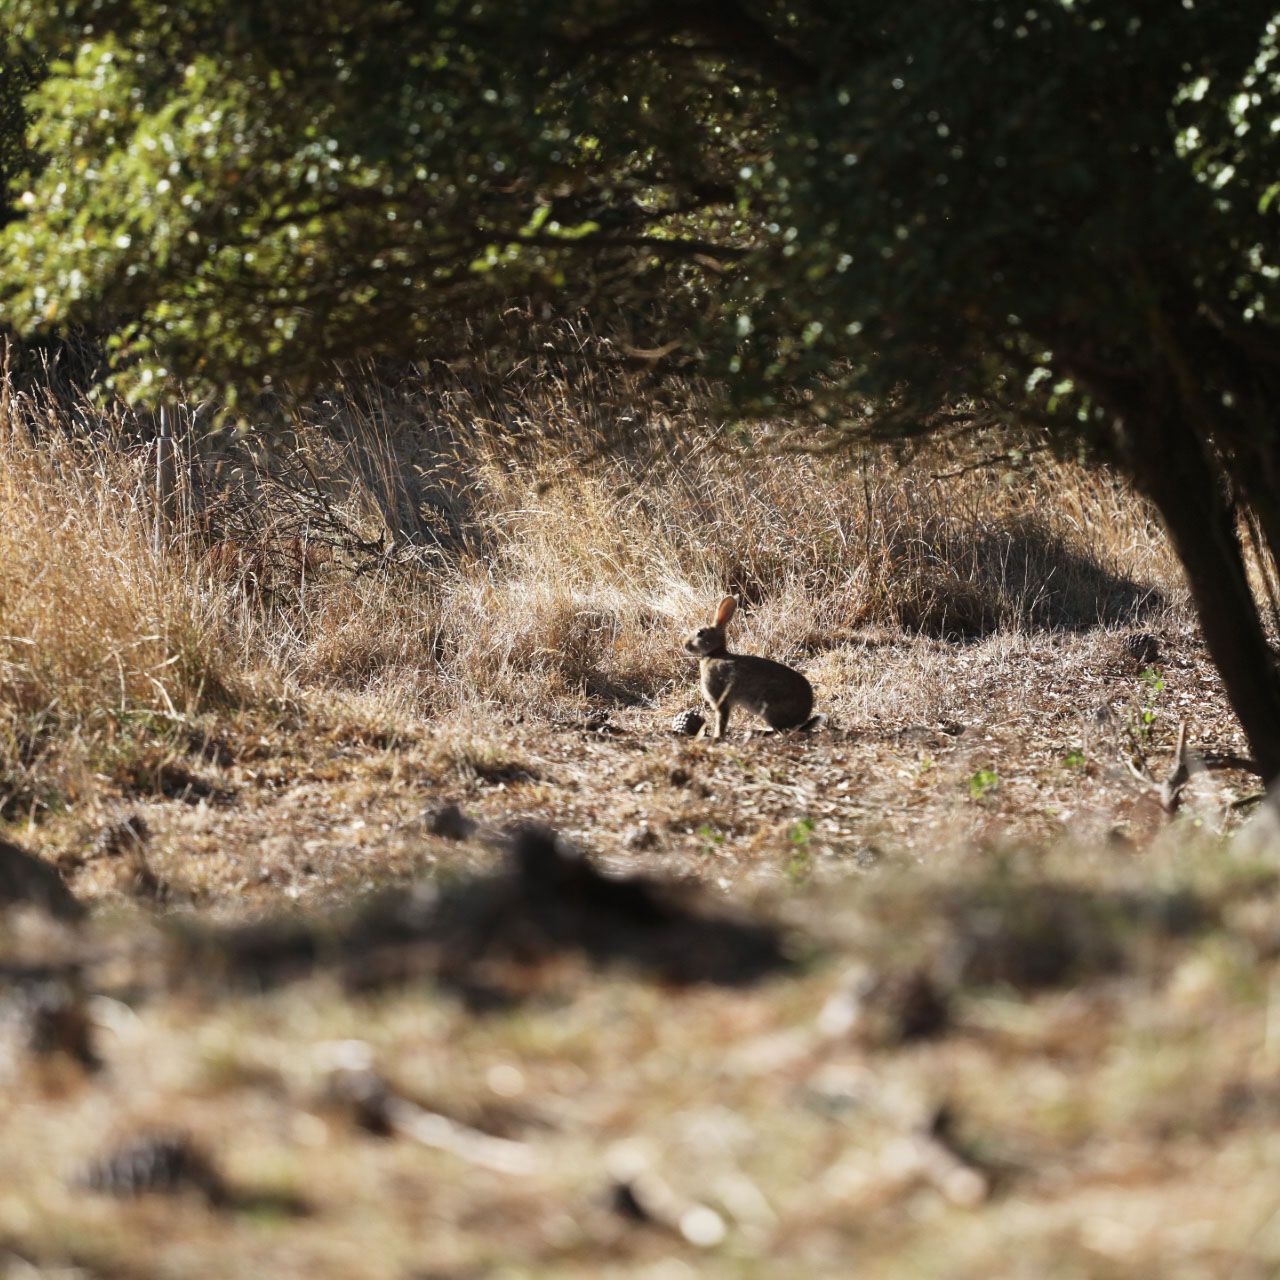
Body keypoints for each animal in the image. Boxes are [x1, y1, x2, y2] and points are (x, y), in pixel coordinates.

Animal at [686, 596, 824, 742]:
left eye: (700, 633)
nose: (685, 644)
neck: (714, 654)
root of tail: (801, 720)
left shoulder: (720, 699)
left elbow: (721, 720)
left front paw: (716, 737)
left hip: (768, 708)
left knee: (779, 730)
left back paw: (753, 733)